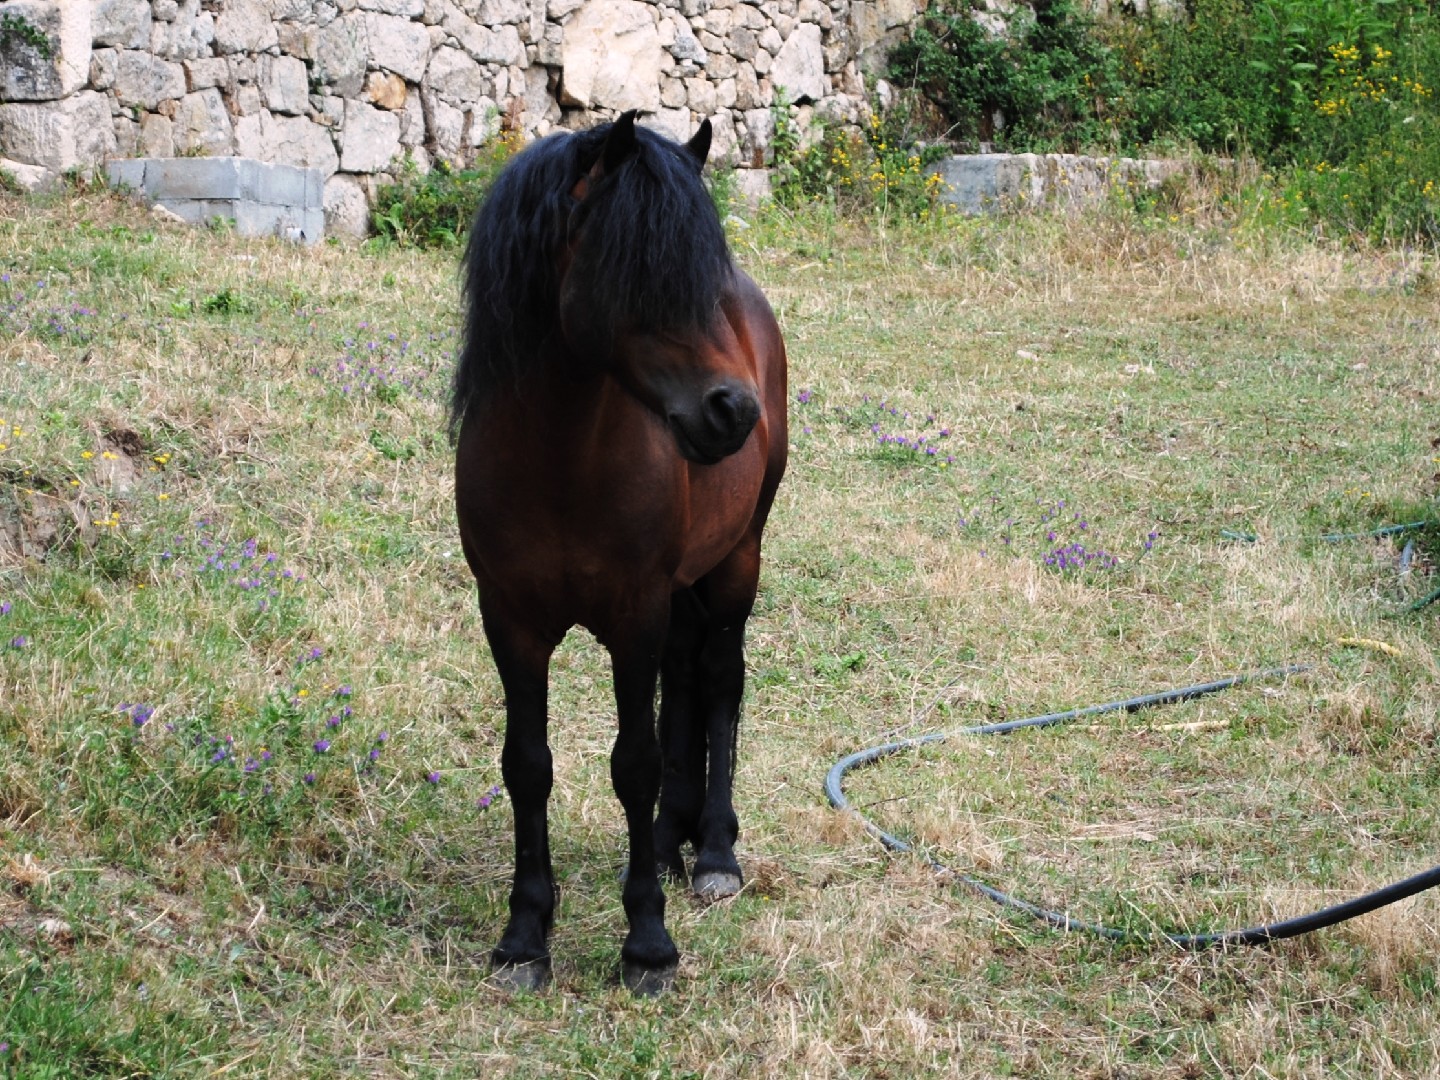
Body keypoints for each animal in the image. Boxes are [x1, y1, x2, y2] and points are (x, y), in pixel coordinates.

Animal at [450, 111, 788, 994]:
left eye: (699, 271)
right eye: (635, 267)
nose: (732, 411)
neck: (559, 460)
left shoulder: (633, 617)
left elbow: (633, 762)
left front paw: (647, 945)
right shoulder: (510, 621)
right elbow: (527, 764)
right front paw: (524, 936)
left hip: (737, 562)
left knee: (719, 680)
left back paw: (713, 853)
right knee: (686, 679)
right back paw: (672, 841)